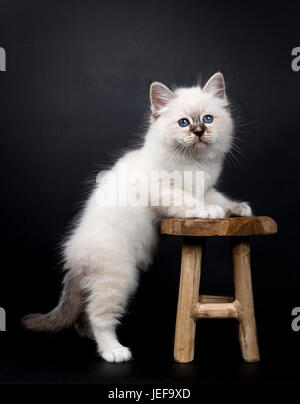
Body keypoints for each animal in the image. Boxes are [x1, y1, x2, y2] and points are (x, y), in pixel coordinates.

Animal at [24, 72, 253, 362]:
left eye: (208, 119)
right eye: (184, 123)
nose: (199, 131)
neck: (195, 164)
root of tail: (73, 256)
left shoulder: (207, 188)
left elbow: (220, 198)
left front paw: (239, 208)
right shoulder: (163, 191)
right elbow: (189, 202)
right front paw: (210, 212)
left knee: (84, 314)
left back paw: (90, 338)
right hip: (118, 277)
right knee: (98, 316)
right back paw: (113, 350)